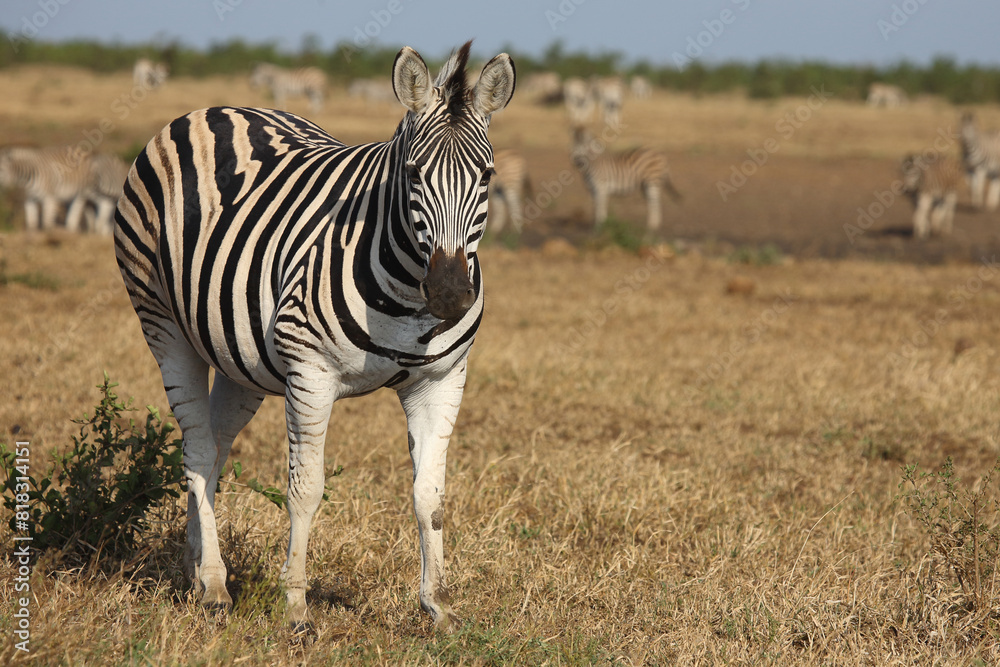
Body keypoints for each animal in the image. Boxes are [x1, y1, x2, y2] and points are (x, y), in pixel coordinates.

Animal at [114, 41, 515, 632]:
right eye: (414, 175)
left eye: (486, 177)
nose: (449, 296)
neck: (408, 293)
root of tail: (215, 109)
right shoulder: (310, 373)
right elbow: (305, 490)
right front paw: (297, 605)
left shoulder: (441, 380)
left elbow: (431, 497)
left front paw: (437, 605)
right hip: (162, 322)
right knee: (196, 448)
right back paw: (214, 585)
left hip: (241, 359)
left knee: (215, 448)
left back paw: (194, 569)